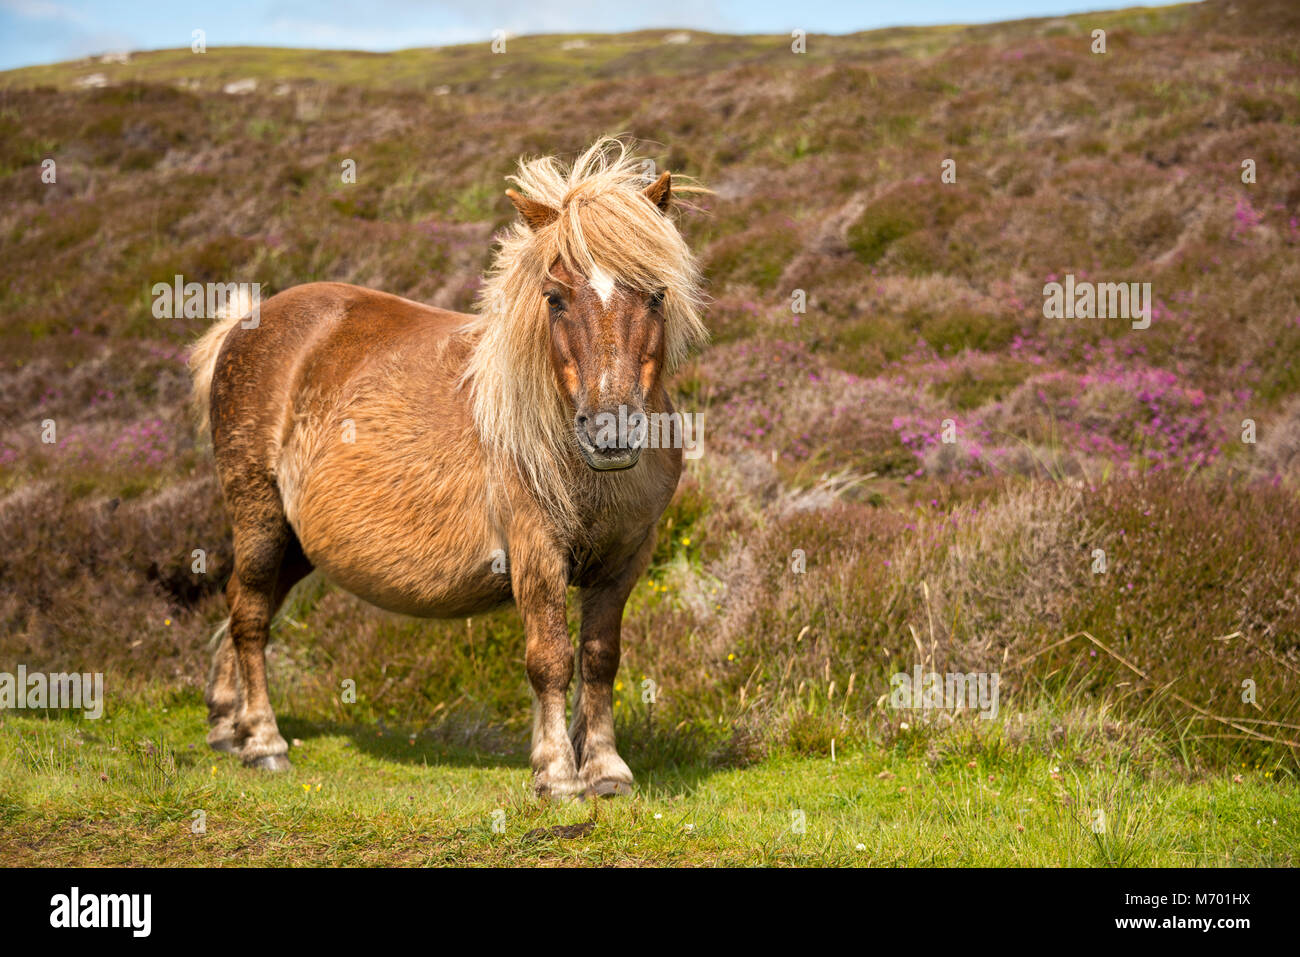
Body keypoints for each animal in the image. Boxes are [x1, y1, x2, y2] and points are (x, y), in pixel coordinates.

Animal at [187, 138, 708, 799]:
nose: (610, 432)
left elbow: (599, 658)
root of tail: (247, 324)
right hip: (259, 517)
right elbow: (550, 658)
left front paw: (606, 770)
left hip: (299, 542)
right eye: (556, 298)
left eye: (656, 294)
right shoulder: (536, 552)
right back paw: (262, 741)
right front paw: (557, 773)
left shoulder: (623, 562)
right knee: (251, 613)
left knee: (242, 603)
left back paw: (226, 725)